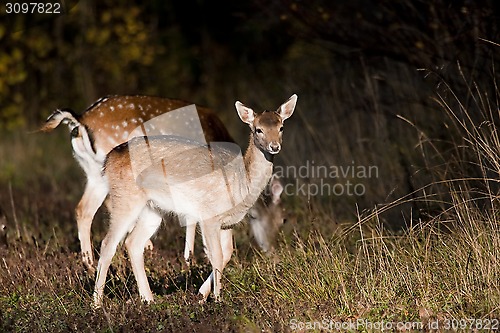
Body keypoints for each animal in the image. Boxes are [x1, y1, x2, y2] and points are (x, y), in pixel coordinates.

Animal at [93, 93, 296, 306]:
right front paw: (217, 299)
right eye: (258, 129)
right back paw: (97, 303)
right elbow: (216, 255)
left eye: (281, 127)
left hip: (152, 209)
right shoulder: (209, 216)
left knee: (132, 243)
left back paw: (148, 299)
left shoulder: (227, 223)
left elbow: (227, 253)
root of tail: (108, 160)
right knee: (108, 244)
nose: (275, 146)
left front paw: (201, 295)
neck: (242, 181)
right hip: (125, 196)